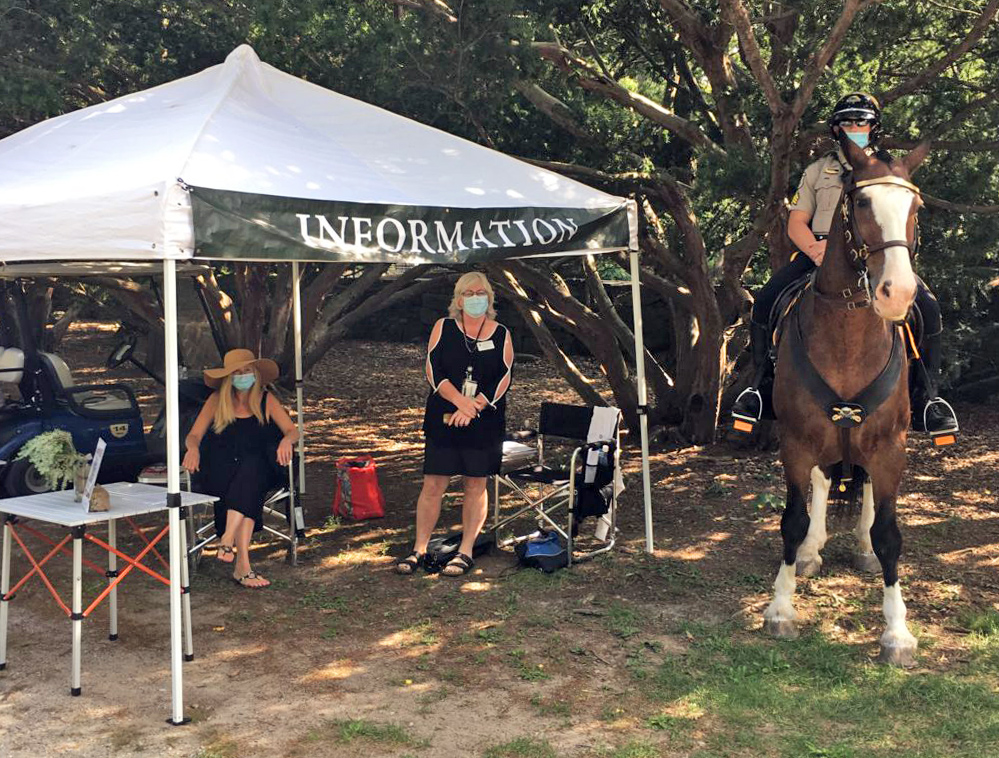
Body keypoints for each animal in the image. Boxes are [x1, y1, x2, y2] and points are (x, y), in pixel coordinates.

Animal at [764, 135, 928, 664]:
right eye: (861, 203)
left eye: (915, 206)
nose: (897, 293)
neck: (848, 340)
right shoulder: (794, 442)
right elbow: (793, 520)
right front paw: (781, 608)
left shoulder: (890, 446)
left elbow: (890, 535)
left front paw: (897, 633)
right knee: (821, 481)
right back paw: (812, 551)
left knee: (867, 490)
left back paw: (861, 549)